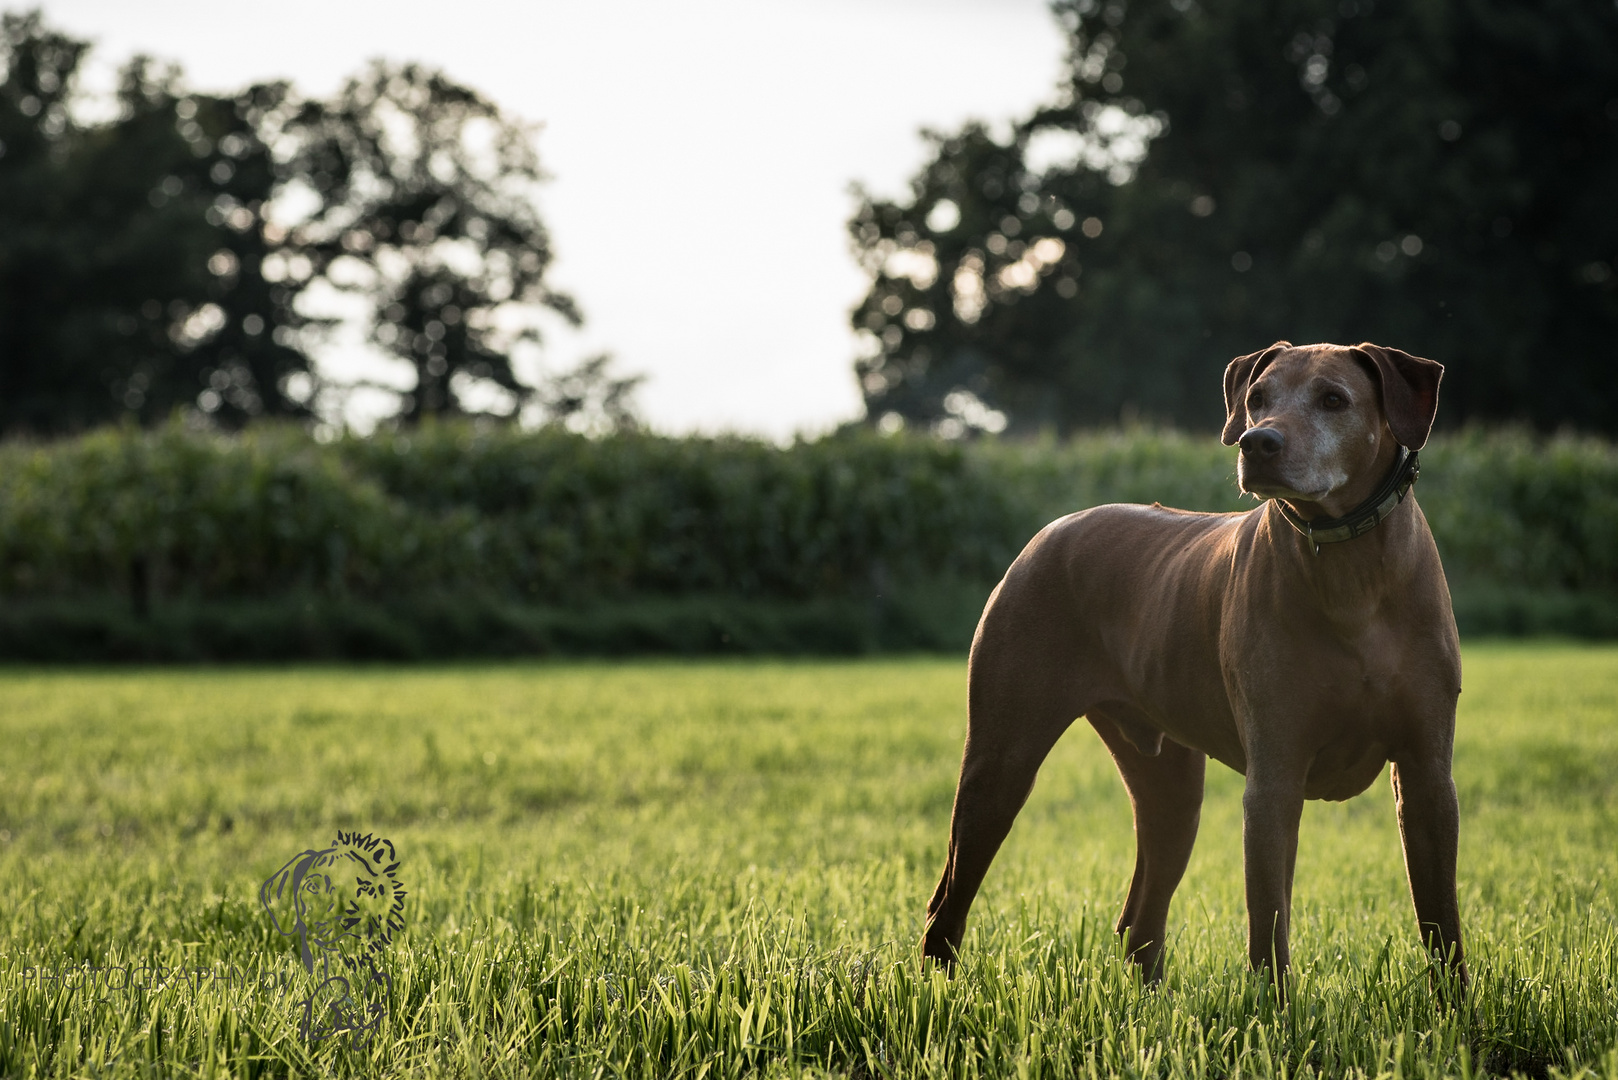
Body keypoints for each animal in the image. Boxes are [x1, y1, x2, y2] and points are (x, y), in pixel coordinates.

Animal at [925, 341, 1469, 990]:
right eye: (1257, 397)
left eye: (1334, 399)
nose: (1257, 442)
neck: (1349, 565)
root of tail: (1051, 530)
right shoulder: (1273, 779)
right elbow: (1269, 923)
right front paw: (1275, 1010)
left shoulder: (1428, 777)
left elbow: (1442, 920)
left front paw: (1456, 1006)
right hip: (1000, 761)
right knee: (950, 898)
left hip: (1170, 783)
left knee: (1142, 911)